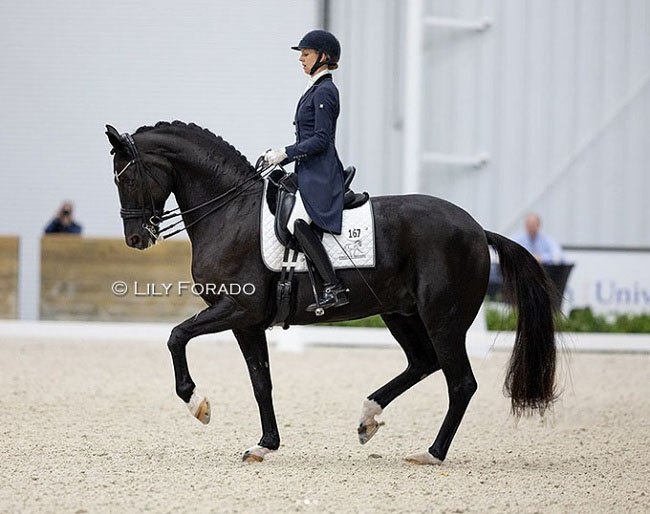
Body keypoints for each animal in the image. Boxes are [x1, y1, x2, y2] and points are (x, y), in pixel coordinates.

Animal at [106, 121, 556, 464]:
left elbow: (176, 336)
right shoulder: (247, 323)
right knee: (422, 363)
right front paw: (264, 445)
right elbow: (261, 382)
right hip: (400, 312)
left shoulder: (236, 308)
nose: (135, 239)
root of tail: (478, 230)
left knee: (460, 383)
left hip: (443, 319)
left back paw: (431, 453)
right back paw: (369, 417)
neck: (229, 213)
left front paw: (197, 403)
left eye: (126, 177)